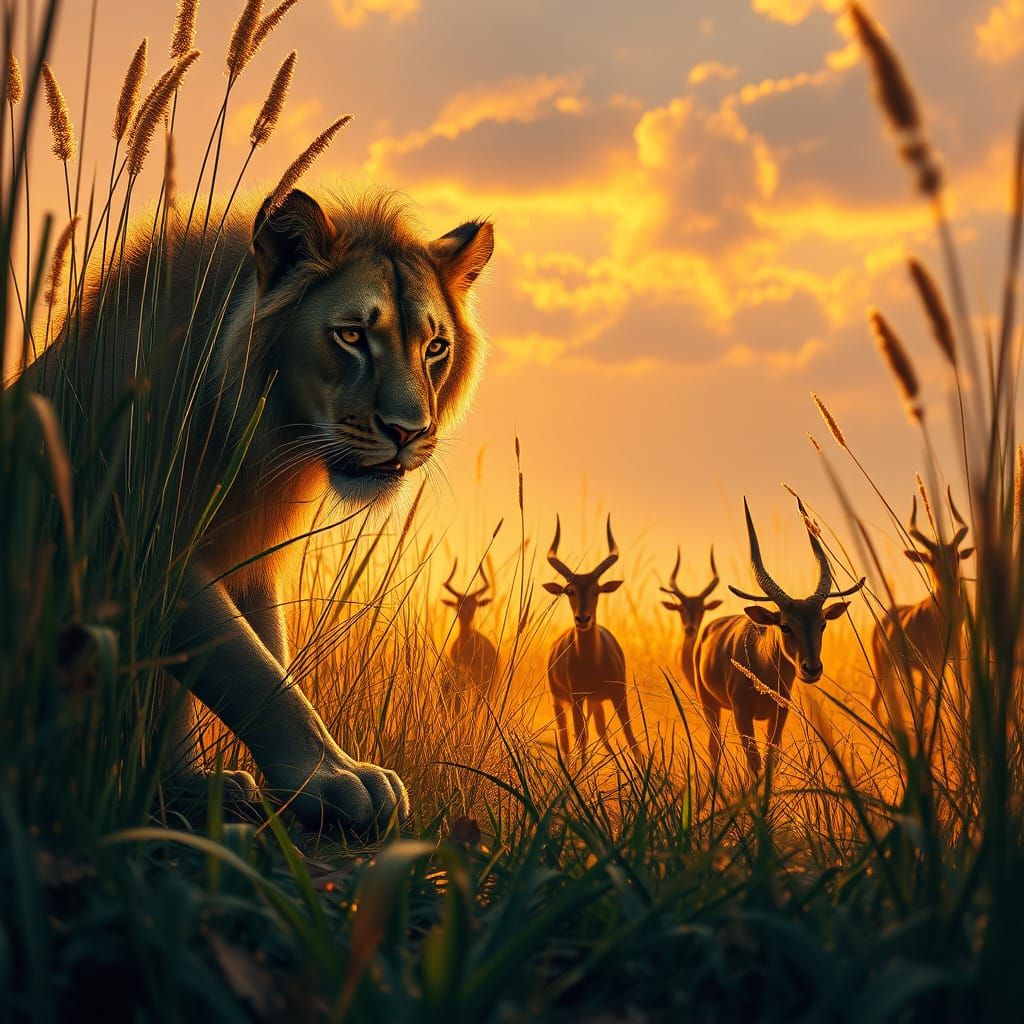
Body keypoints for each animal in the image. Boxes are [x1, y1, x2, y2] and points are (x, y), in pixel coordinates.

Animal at [23, 187, 494, 831]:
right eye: (352, 336)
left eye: (436, 347)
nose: (408, 432)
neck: (259, 443)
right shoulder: (142, 542)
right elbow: (249, 669)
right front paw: (336, 780)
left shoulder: (250, 559)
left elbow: (267, 656)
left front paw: (195, 783)